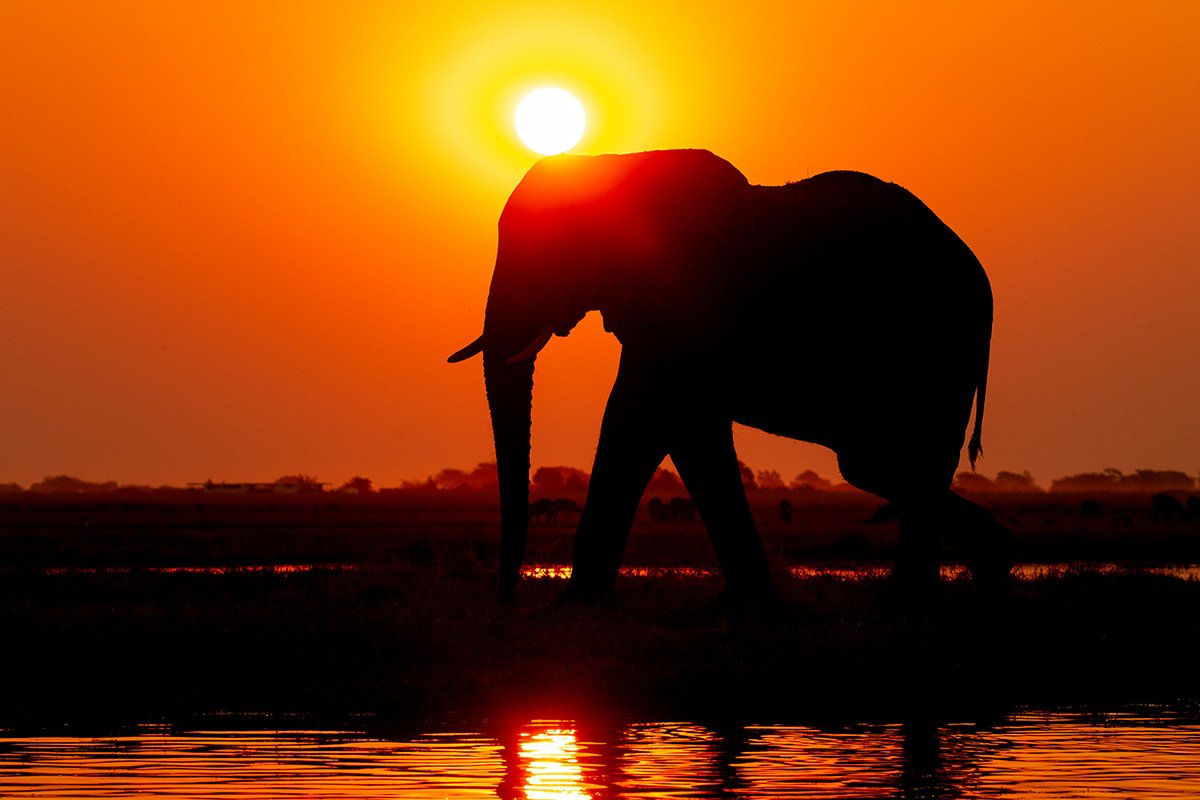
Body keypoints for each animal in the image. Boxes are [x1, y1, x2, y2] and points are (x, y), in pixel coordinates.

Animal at [449, 149, 1015, 605]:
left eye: (551, 248)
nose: (509, 601)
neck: (614, 164)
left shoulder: (689, 295)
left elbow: (638, 418)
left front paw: (572, 607)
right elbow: (689, 430)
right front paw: (749, 604)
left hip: (939, 345)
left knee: (886, 461)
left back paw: (927, 592)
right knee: (887, 465)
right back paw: (973, 575)